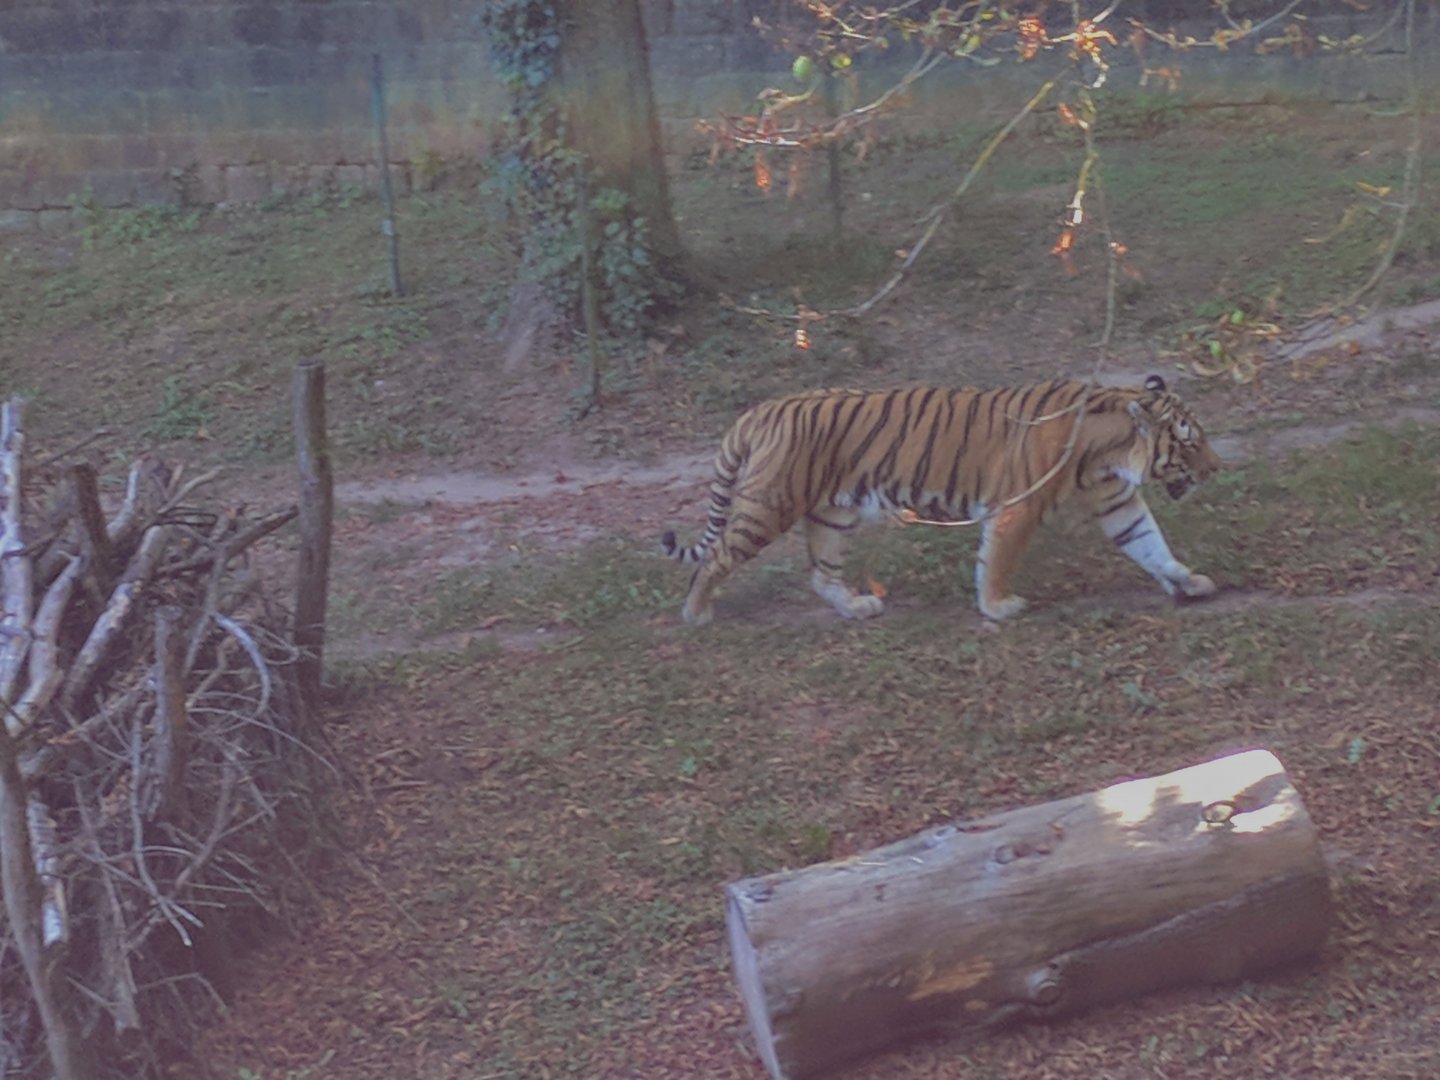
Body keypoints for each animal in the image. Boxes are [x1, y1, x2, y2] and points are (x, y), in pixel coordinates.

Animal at [661, 375, 1220, 624]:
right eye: (1190, 442)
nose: (1215, 469)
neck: (1109, 452)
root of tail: (759, 411)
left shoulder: (1116, 501)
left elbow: (1150, 543)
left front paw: (1188, 580)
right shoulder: (1017, 507)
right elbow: (997, 560)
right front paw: (997, 607)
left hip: (834, 514)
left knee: (821, 573)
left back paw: (857, 606)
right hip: (767, 507)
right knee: (714, 557)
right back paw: (696, 613)